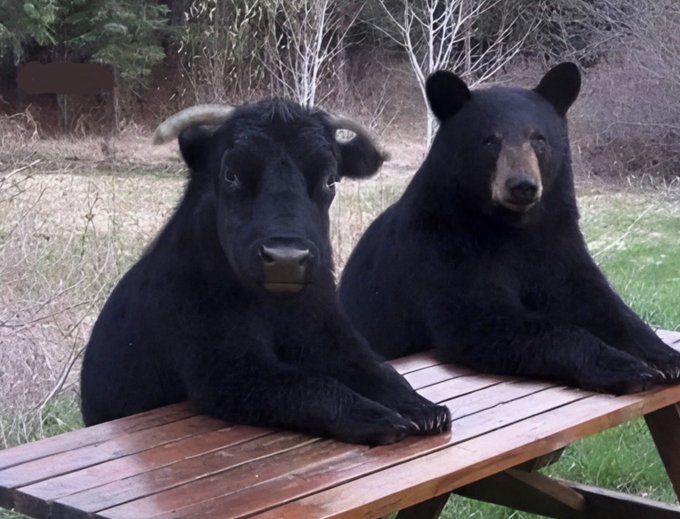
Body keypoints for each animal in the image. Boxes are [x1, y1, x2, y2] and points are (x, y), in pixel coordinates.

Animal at [339, 63, 680, 394]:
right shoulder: (442, 249)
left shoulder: (557, 240)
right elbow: (484, 320)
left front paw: (666, 357)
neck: (512, 226)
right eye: (491, 140)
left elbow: (600, 303)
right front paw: (626, 367)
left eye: (539, 138)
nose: (522, 185)